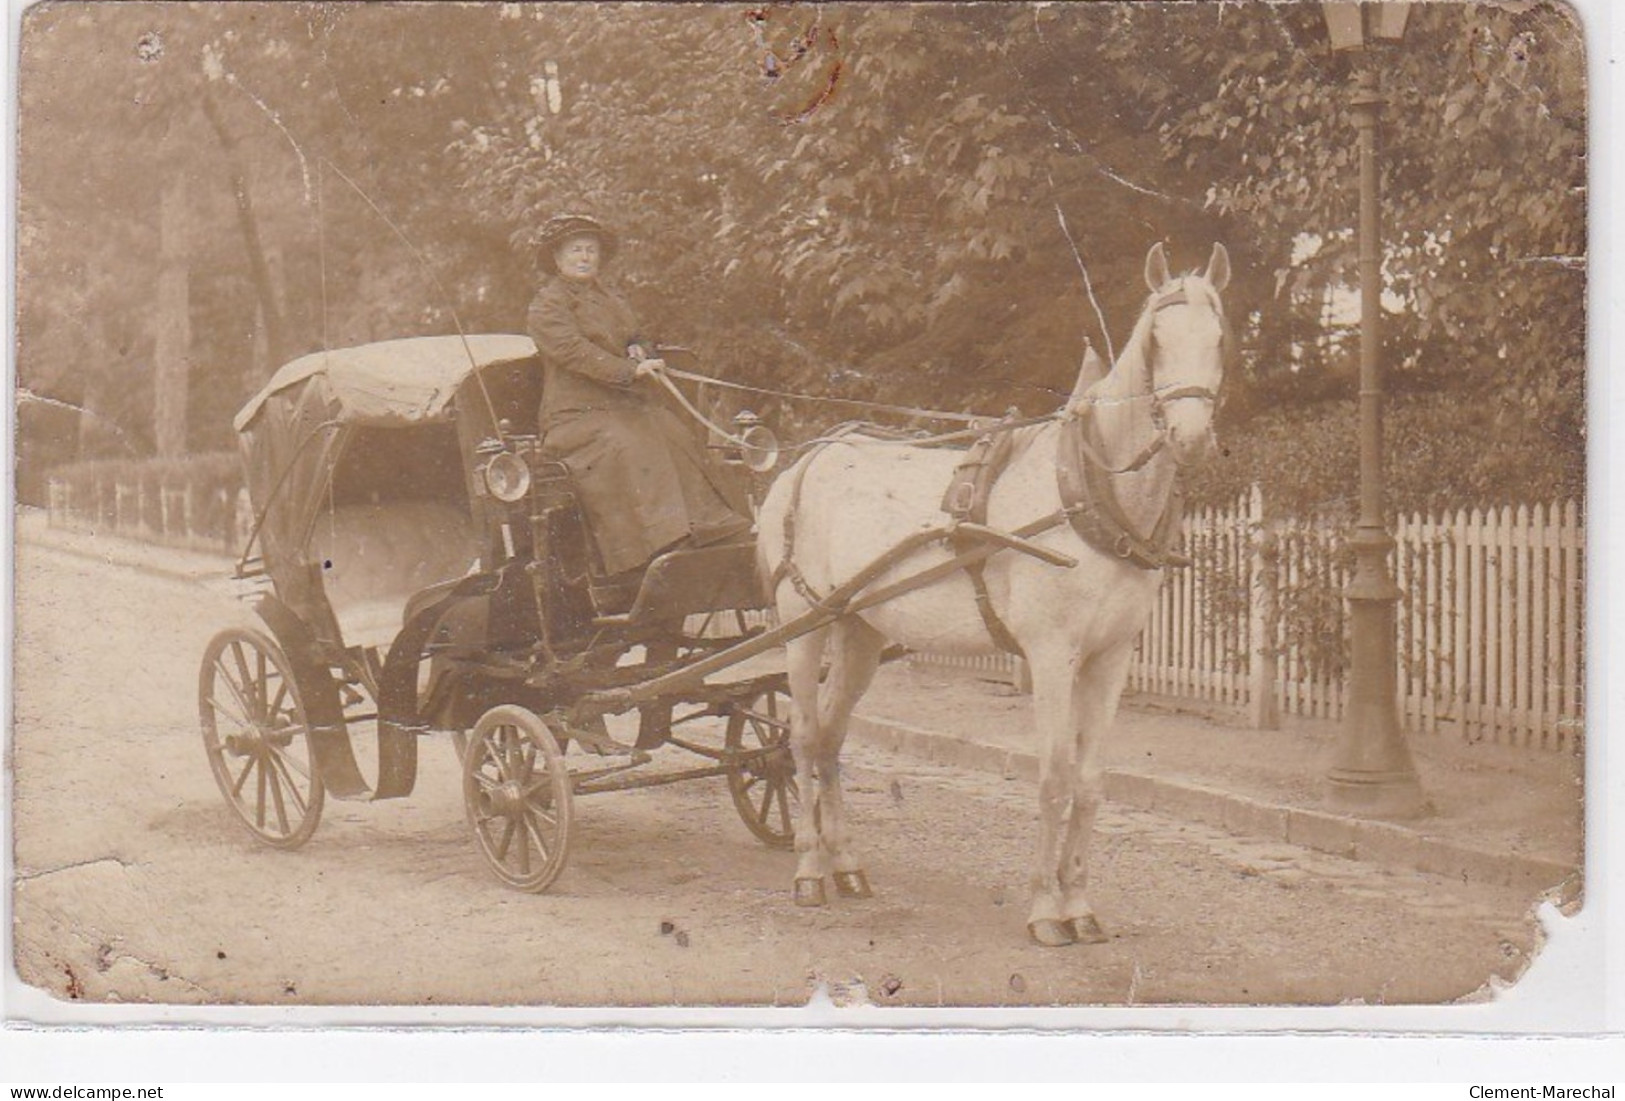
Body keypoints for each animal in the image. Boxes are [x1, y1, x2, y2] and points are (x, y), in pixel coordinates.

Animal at [757, 243, 1228, 948]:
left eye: (1220, 338)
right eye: (1156, 339)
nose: (1191, 439)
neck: (1087, 494)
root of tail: (805, 460)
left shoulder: (1110, 658)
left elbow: (1091, 782)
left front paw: (1080, 902)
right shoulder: (1053, 654)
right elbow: (1054, 776)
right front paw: (1045, 909)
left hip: (859, 629)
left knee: (832, 737)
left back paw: (846, 864)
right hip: (802, 624)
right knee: (804, 738)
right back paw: (811, 867)